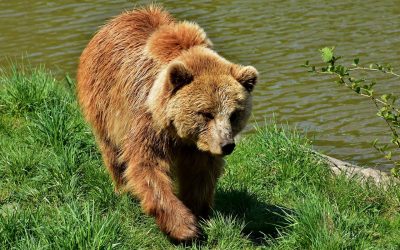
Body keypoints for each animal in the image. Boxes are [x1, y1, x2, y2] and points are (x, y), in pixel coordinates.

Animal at [76, 4, 258, 241]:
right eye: (206, 113)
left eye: (234, 114)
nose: (226, 145)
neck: (178, 134)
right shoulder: (146, 123)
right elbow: (147, 166)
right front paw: (185, 228)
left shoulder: (200, 146)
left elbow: (200, 174)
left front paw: (199, 212)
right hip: (103, 102)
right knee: (112, 152)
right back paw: (122, 190)